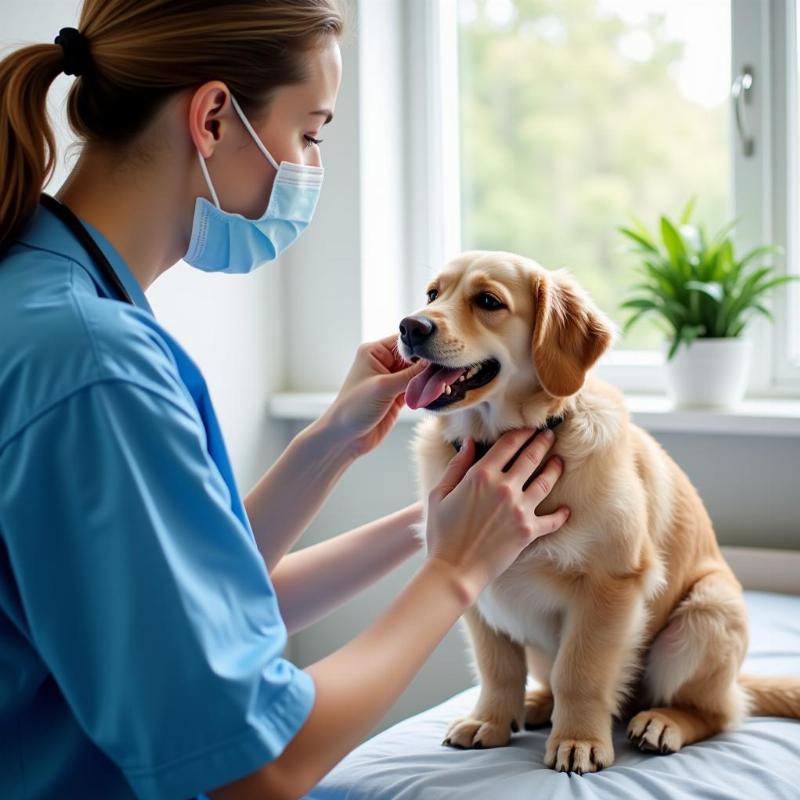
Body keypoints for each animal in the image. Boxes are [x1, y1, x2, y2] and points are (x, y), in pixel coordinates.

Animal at [396, 252, 800, 776]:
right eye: (432, 294)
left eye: (488, 301)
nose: (409, 326)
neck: (506, 441)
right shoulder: (475, 587)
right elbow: (497, 666)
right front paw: (491, 719)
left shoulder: (610, 583)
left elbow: (580, 672)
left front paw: (579, 740)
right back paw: (534, 705)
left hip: (707, 613)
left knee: (719, 711)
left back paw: (663, 722)